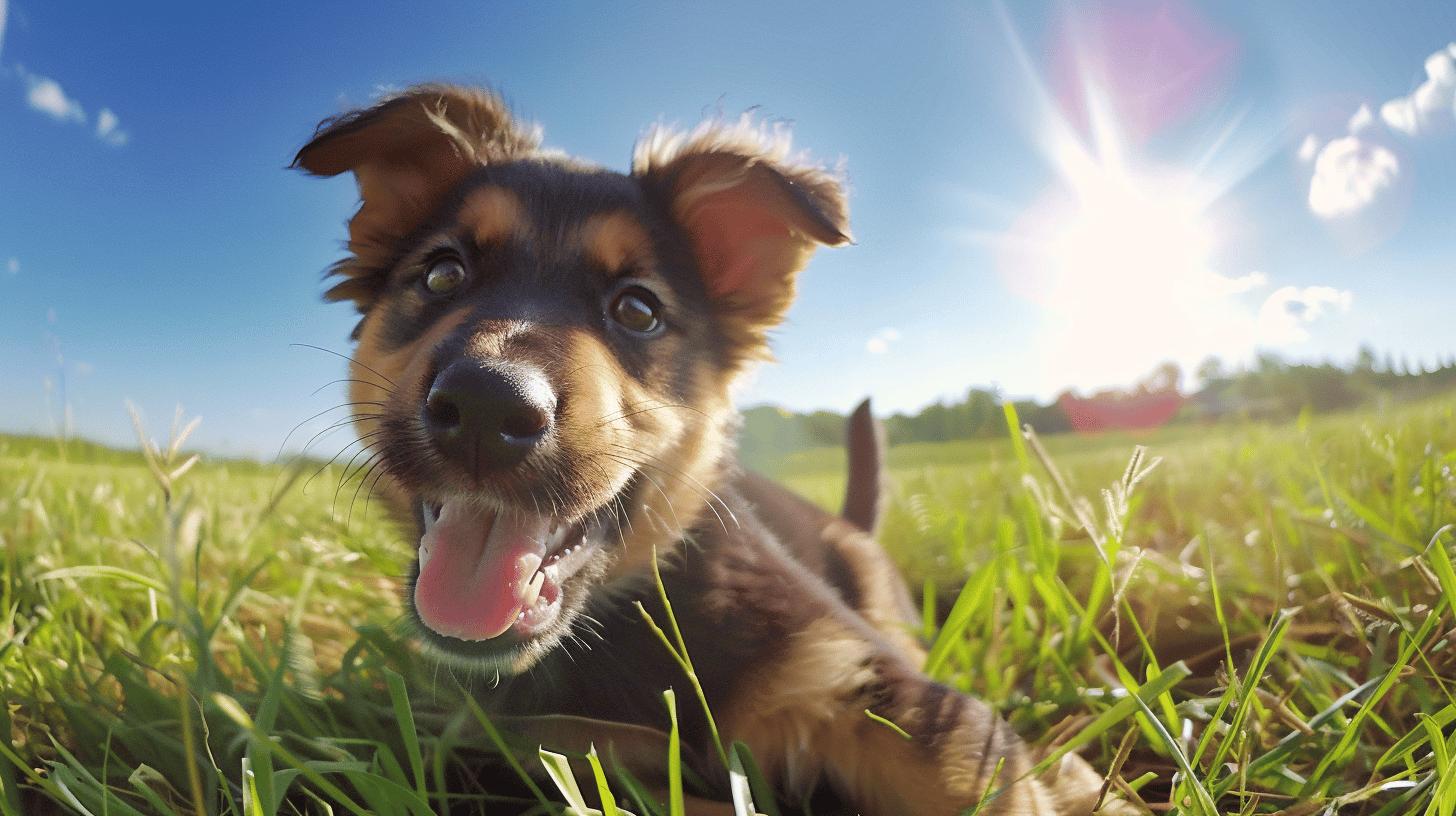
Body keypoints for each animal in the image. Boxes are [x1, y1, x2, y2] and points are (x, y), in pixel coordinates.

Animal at [289, 85, 1118, 810]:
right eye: (441, 275)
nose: (488, 406)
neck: (631, 620)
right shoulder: (529, 751)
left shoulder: (875, 689)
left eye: (638, 311)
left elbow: (983, 773)